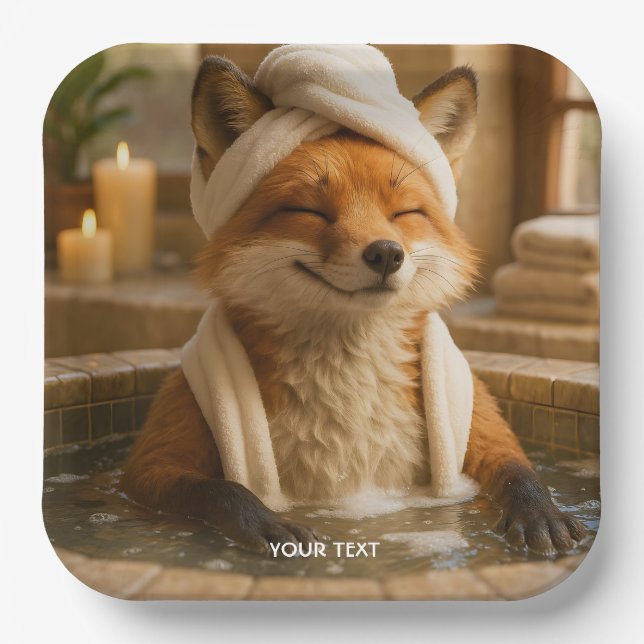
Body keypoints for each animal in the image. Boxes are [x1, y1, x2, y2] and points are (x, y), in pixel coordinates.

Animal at [121, 54, 585, 554]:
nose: (385, 254)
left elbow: (521, 473)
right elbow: (223, 490)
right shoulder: (153, 462)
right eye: (310, 211)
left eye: (404, 212)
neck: (349, 402)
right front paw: (265, 524)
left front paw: (541, 513)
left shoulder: (480, 430)